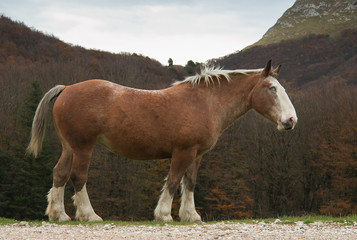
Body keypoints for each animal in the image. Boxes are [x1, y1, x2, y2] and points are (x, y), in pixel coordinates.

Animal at [26, 60, 296, 223]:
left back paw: (59, 215)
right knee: (78, 177)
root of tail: (67, 88)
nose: (290, 121)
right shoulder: (183, 152)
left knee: (60, 174)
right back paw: (89, 215)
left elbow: (190, 183)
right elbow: (174, 181)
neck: (204, 102)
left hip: (69, 147)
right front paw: (165, 215)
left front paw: (191, 215)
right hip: (84, 147)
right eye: (271, 88)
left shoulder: (197, 154)